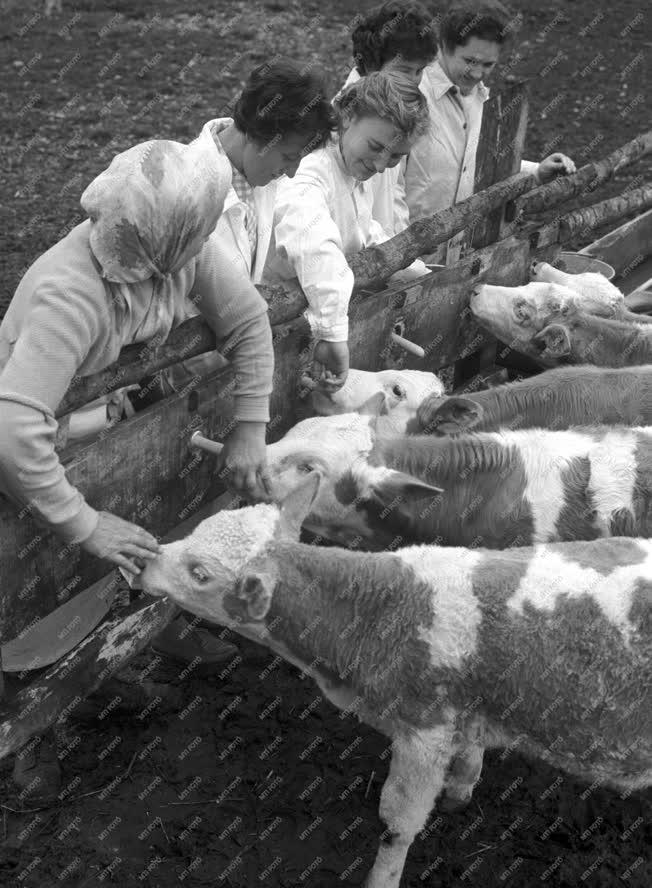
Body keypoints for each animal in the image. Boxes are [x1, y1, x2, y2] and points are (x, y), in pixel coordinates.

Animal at [140, 478, 652, 888]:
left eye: (200, 573)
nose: (143, 562)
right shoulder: (461, 711)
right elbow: (469, 752)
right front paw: (461, 790)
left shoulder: (422, 730)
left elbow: (397, 823)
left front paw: (381, 878)